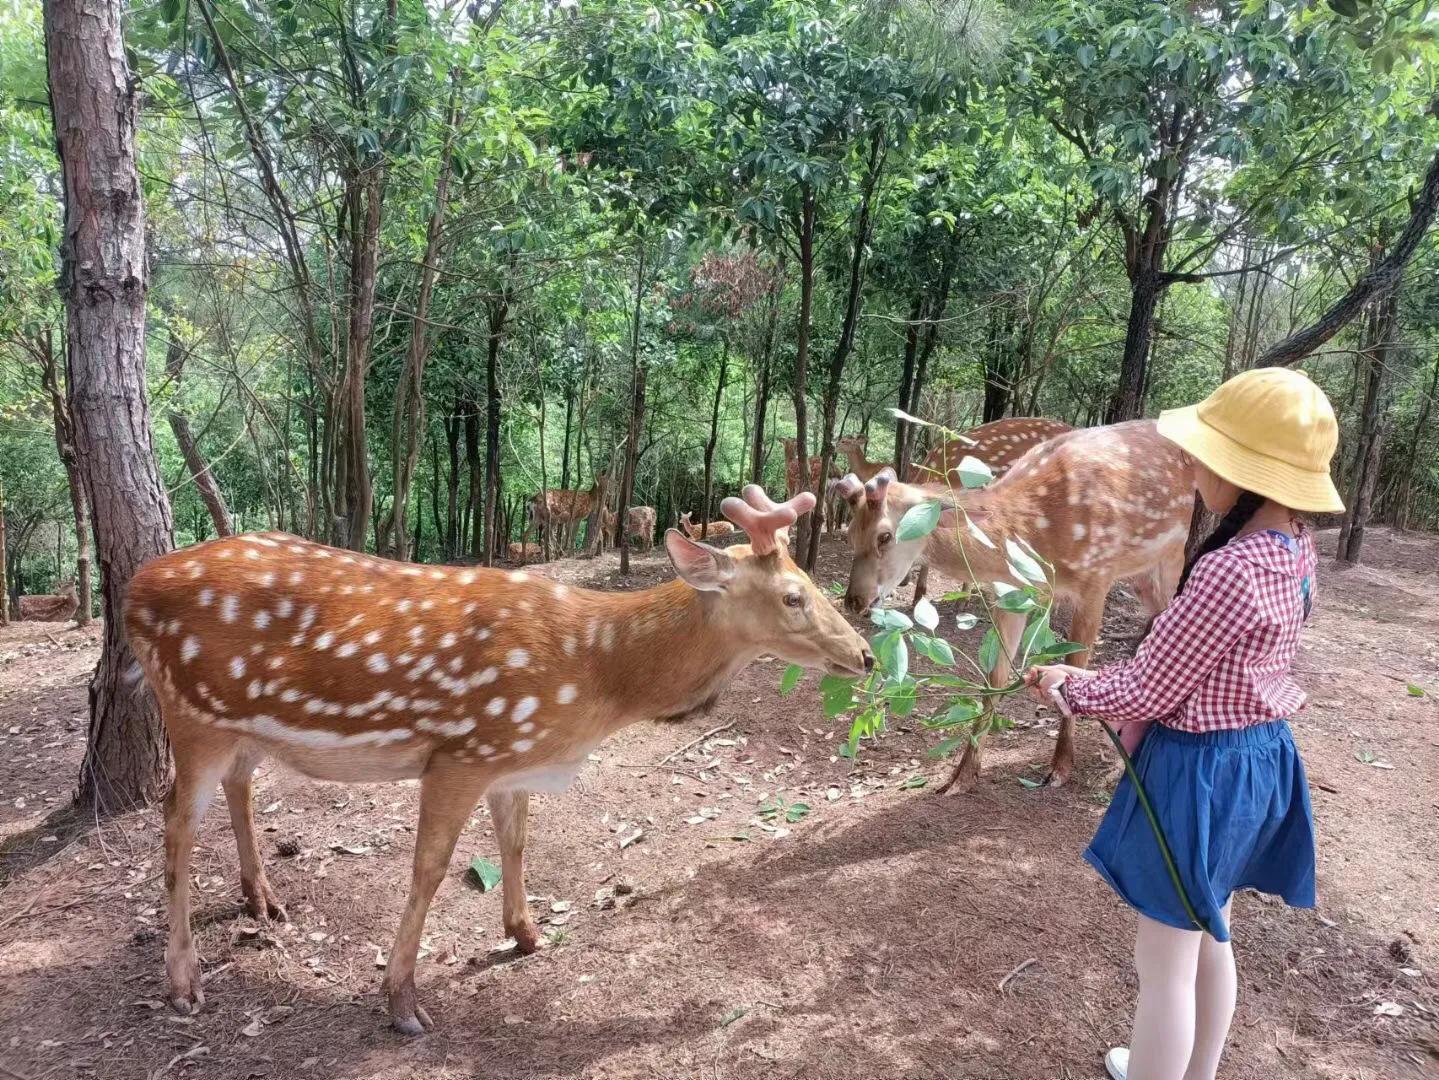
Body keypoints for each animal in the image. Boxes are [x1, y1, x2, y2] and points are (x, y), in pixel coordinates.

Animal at [123, 486, 863, 1035]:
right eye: (793, 596)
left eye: (806, 580)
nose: (863, 654)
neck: (595, 677)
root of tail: (132, 588)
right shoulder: (463, 751)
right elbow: (428, 869)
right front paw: (401, 1002)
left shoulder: (511, 755)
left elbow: (515, 840)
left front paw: (528, 934)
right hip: (190, 710)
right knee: (176, 819)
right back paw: (184, 980)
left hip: (241, 725)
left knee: (239, 788)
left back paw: (264, 900)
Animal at [834, 419, 1191, 788]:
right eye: (850, 534)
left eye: (885, 536)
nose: (854, 601)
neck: (1037, 532)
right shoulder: (1012, 593)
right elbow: (995, 678)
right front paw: (962, 776)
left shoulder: (1097, 576)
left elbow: (1073, 663)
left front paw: (1060, 769)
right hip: (1143, 574)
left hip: (1172, 556)